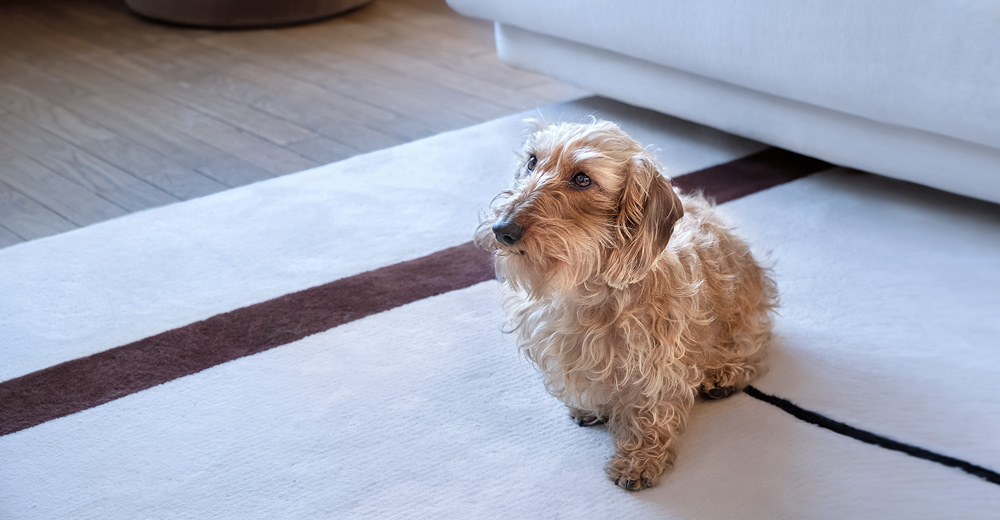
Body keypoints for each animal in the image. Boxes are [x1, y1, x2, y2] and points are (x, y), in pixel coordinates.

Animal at [472, 121, 776, 492]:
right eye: (532, 161)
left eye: (582, 179)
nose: (502, 230)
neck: (586, 285)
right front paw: (590, 407)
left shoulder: (658, 361)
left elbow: (650, 410)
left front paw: (639, 461)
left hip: (743, 323)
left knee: (753, 350)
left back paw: (725, 374)